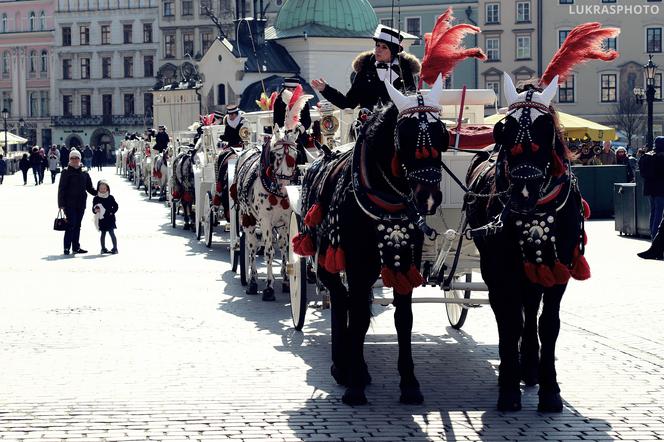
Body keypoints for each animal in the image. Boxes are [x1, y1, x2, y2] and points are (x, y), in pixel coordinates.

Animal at [294, 77, 448, 404]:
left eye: (443, 135)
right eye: (405, 137)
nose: (429, 197)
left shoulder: (407, 262)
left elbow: (404, 319)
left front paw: (409, 383)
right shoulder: (355, 262)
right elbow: (359, 316)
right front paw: (354, 385)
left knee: (350, 302)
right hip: (325, 258)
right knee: (341, 299)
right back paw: (343, 366)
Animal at [464, 77, 588, 412]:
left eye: (546, 129)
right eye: (504, 129)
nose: (522, 193)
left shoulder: (560, 269)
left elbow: (548, 324)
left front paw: (550, 390)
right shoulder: (500, 270)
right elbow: (509, 322)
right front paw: (508, 388)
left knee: (530, 310)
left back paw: (530, 368)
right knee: (512, 312)